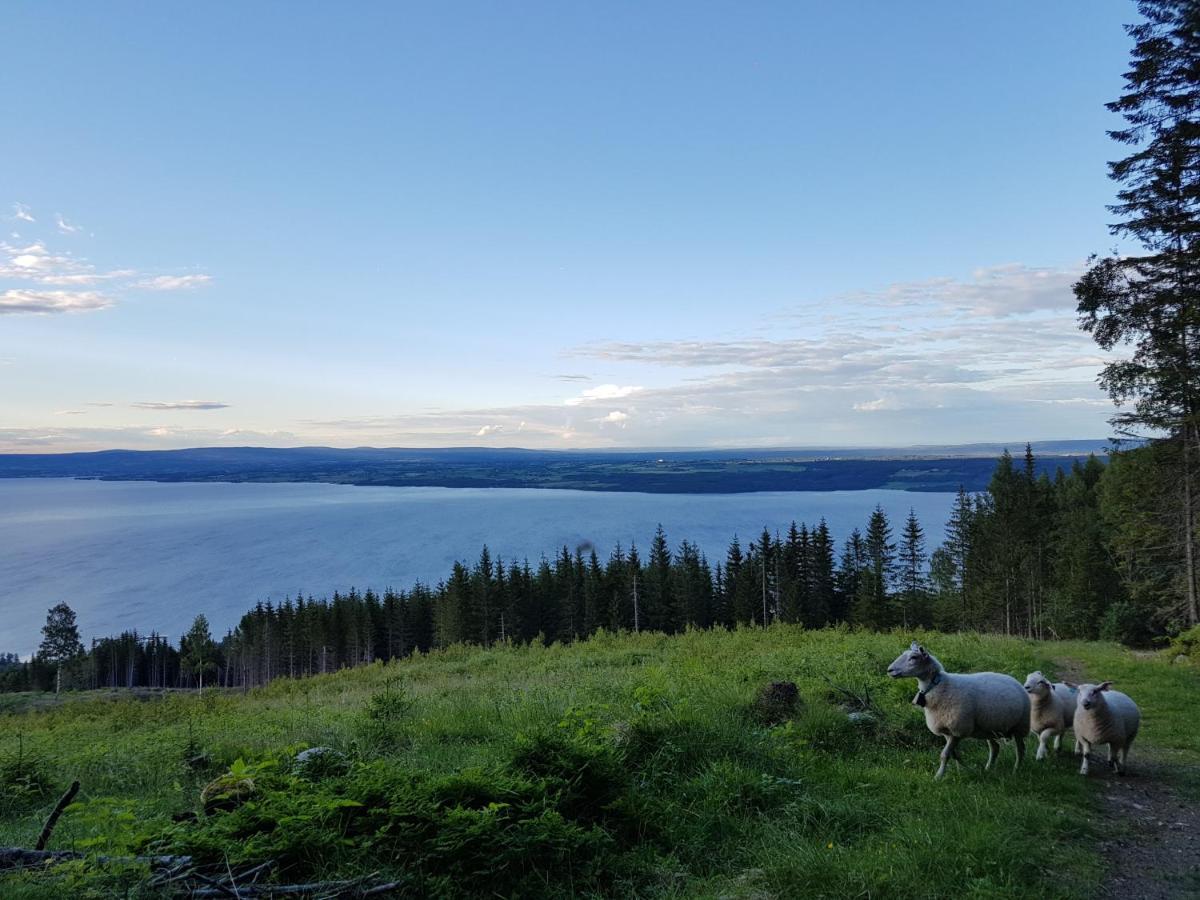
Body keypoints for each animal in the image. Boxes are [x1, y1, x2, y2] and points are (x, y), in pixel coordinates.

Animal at [883, 643, 1032, 782]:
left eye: (913, 657)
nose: (890, 670)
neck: (938, 686)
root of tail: (1014, 680)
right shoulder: (946, 731)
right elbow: (953, 754)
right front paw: (964, 770)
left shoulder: (957, 729)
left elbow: (944, 755)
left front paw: (938, 777)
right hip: (988, 728)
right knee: (995, 748)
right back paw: (988, 768)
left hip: (1020, 726)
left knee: (1020, 749)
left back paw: (1016, 770)